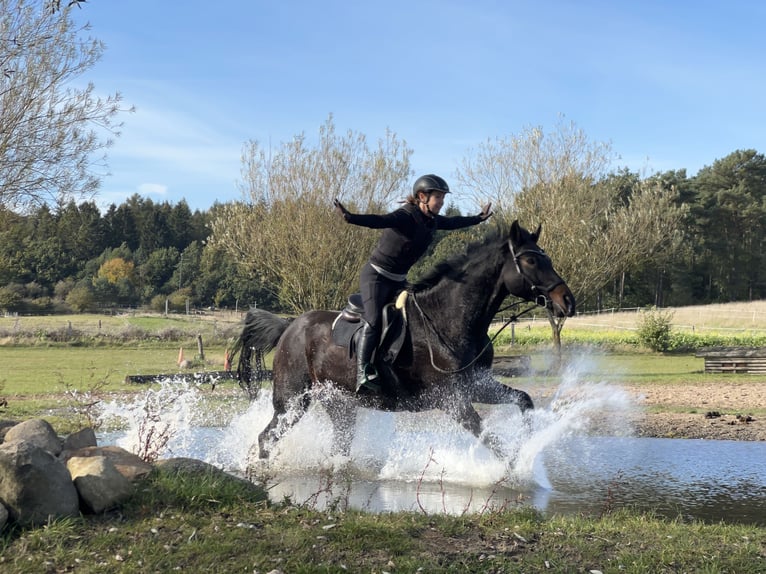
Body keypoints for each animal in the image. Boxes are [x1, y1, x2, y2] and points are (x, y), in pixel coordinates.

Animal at [234, 220, 576, 464]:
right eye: (530, 261)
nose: (567, 301)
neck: (449, 319)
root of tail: (290, 326)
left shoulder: (476, 385)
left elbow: (523, 400)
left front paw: (529, 441)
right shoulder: (452, 400)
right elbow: (490, 439)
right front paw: (517, 469)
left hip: (337, 402)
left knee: (336, 443)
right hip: (293, 401)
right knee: (267, 438)